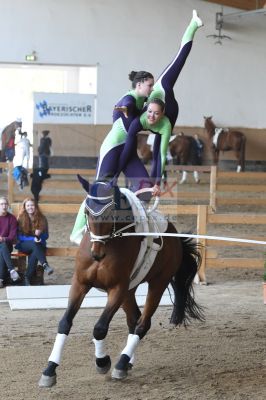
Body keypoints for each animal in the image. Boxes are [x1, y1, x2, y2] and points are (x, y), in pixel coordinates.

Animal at [38, 177, 204, 386]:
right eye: (87, 211)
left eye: (111, 212)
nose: (97, 254)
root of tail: (176, 239)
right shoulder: (80, 284)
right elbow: (64, 323)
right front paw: (49, 370)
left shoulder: (117, 288)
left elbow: (100, 328)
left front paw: (102, 362)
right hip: (130, 290)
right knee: (134, 320)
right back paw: (127, 362)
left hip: (157, 283)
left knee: (142, 324)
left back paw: (121, 364)